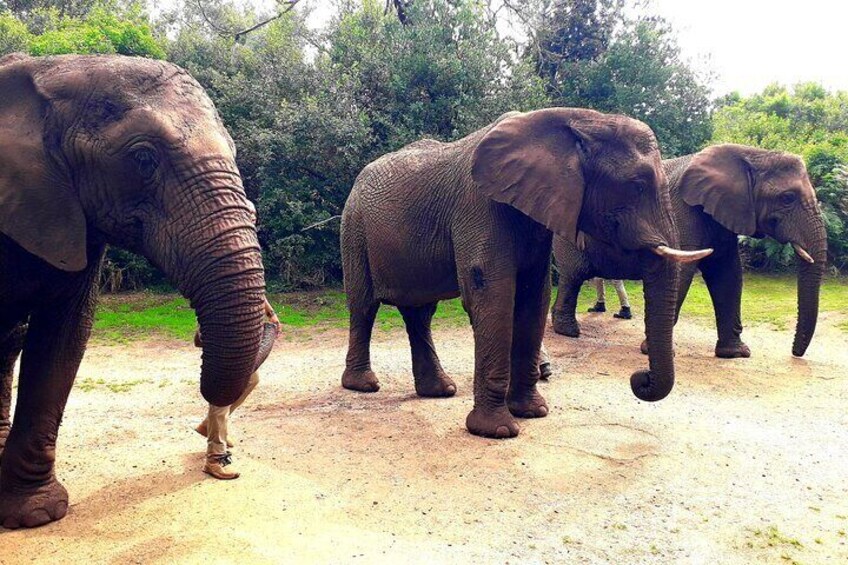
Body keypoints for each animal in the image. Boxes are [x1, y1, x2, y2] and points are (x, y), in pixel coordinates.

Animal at [340, 108, 712, 439]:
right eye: (636, 185)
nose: (639, 379)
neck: (572, 121)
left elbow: (534, 298)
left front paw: (533, 412)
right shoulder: (480, 206)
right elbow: (492, 294)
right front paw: (498, 431)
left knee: (420, 314)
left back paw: (440, 390)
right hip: (353, 227)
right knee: (364, 306)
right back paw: (363, 386)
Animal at [551, 144, 827, 359]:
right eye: (787, 198)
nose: (795, 354)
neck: (751, 154)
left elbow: (728, 274)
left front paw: (735, 354)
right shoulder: (683, 211)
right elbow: (683, 272)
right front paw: (651, 351)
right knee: (574, 274)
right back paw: (568, 332)